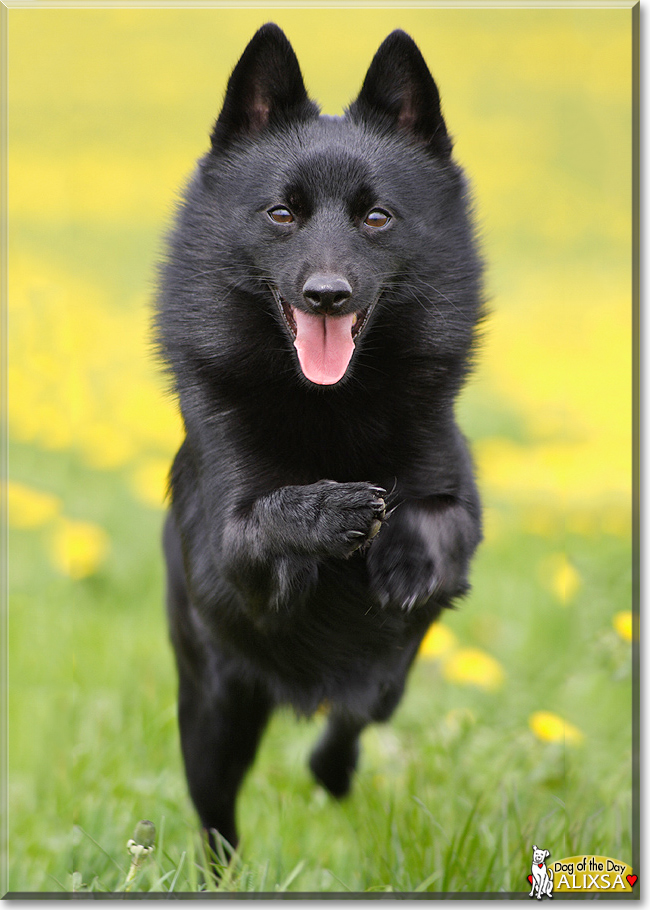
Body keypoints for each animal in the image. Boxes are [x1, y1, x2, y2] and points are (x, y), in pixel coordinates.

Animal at [156, 23, 480, 856]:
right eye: (281, 214)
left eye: (377, 218)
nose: (326, 295)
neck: (334, 410)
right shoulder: (229, 552)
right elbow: (270, 513)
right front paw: (330, 510)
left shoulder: (460, 520)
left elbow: (435, 515)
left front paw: (401, 551)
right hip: (214, 710)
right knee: (216, 821)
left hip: (384, 678)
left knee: (357, 714)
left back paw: (332, 770)